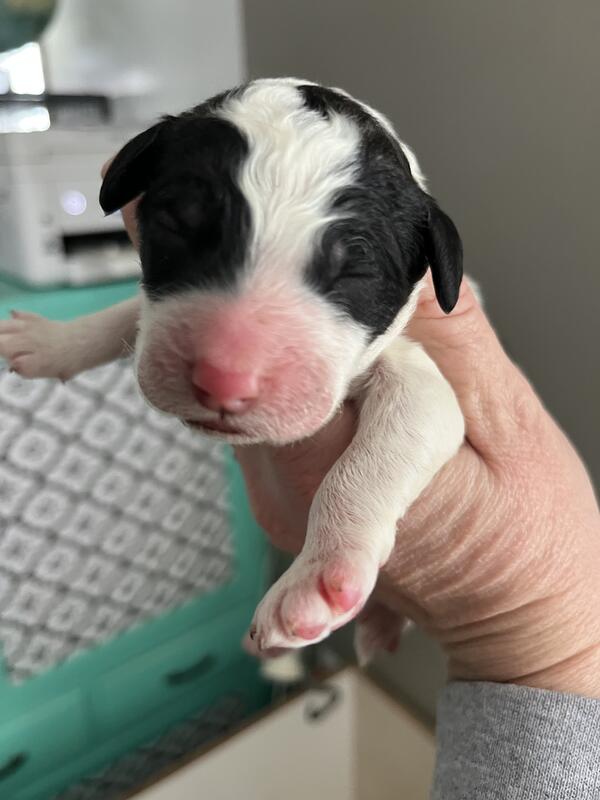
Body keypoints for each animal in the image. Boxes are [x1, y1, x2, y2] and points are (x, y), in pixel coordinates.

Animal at [0, 78, 464, 661]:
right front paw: (53, 340)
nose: (224, 382)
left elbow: (374, 459)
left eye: (357, 270)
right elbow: (127, 316)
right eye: (177, 223)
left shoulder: (421, 375)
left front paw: (317, 577)